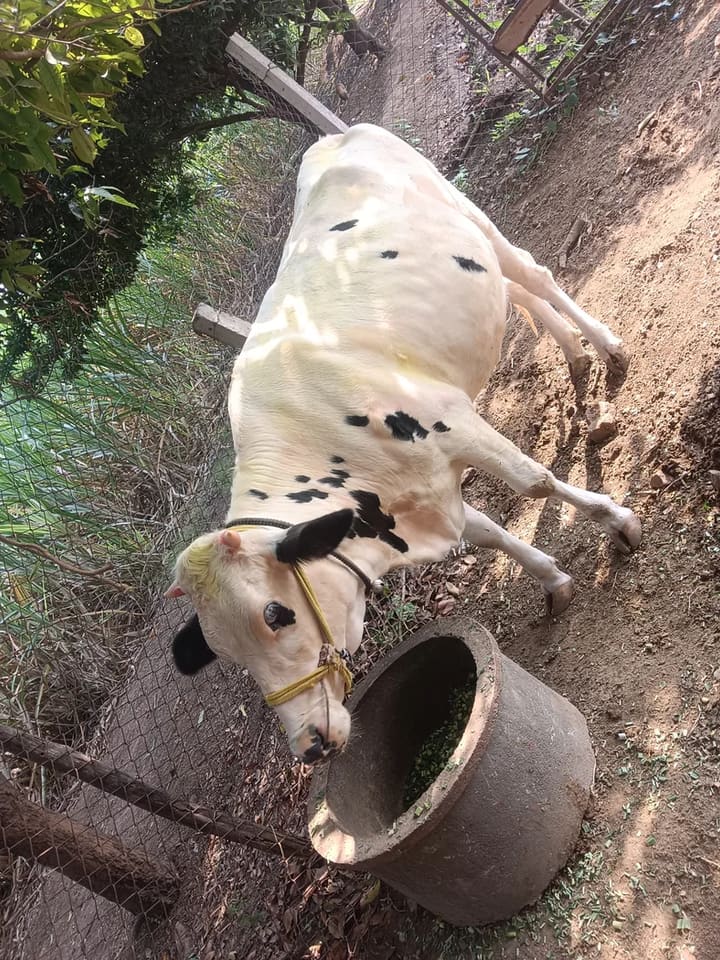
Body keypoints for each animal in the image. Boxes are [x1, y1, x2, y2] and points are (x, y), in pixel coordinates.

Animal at [166, 123, 640, 765]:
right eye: (227, 654)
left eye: (276, 614)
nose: (309, 745)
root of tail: (339, 136)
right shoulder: (419, 488)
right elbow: (487, 533)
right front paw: (554, 582)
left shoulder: (452, 423)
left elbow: (535, 482)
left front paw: (619, 523)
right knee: (513, 290)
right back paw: (572, 356)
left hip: (469, 211)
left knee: (532, 273)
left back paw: (606, 347)